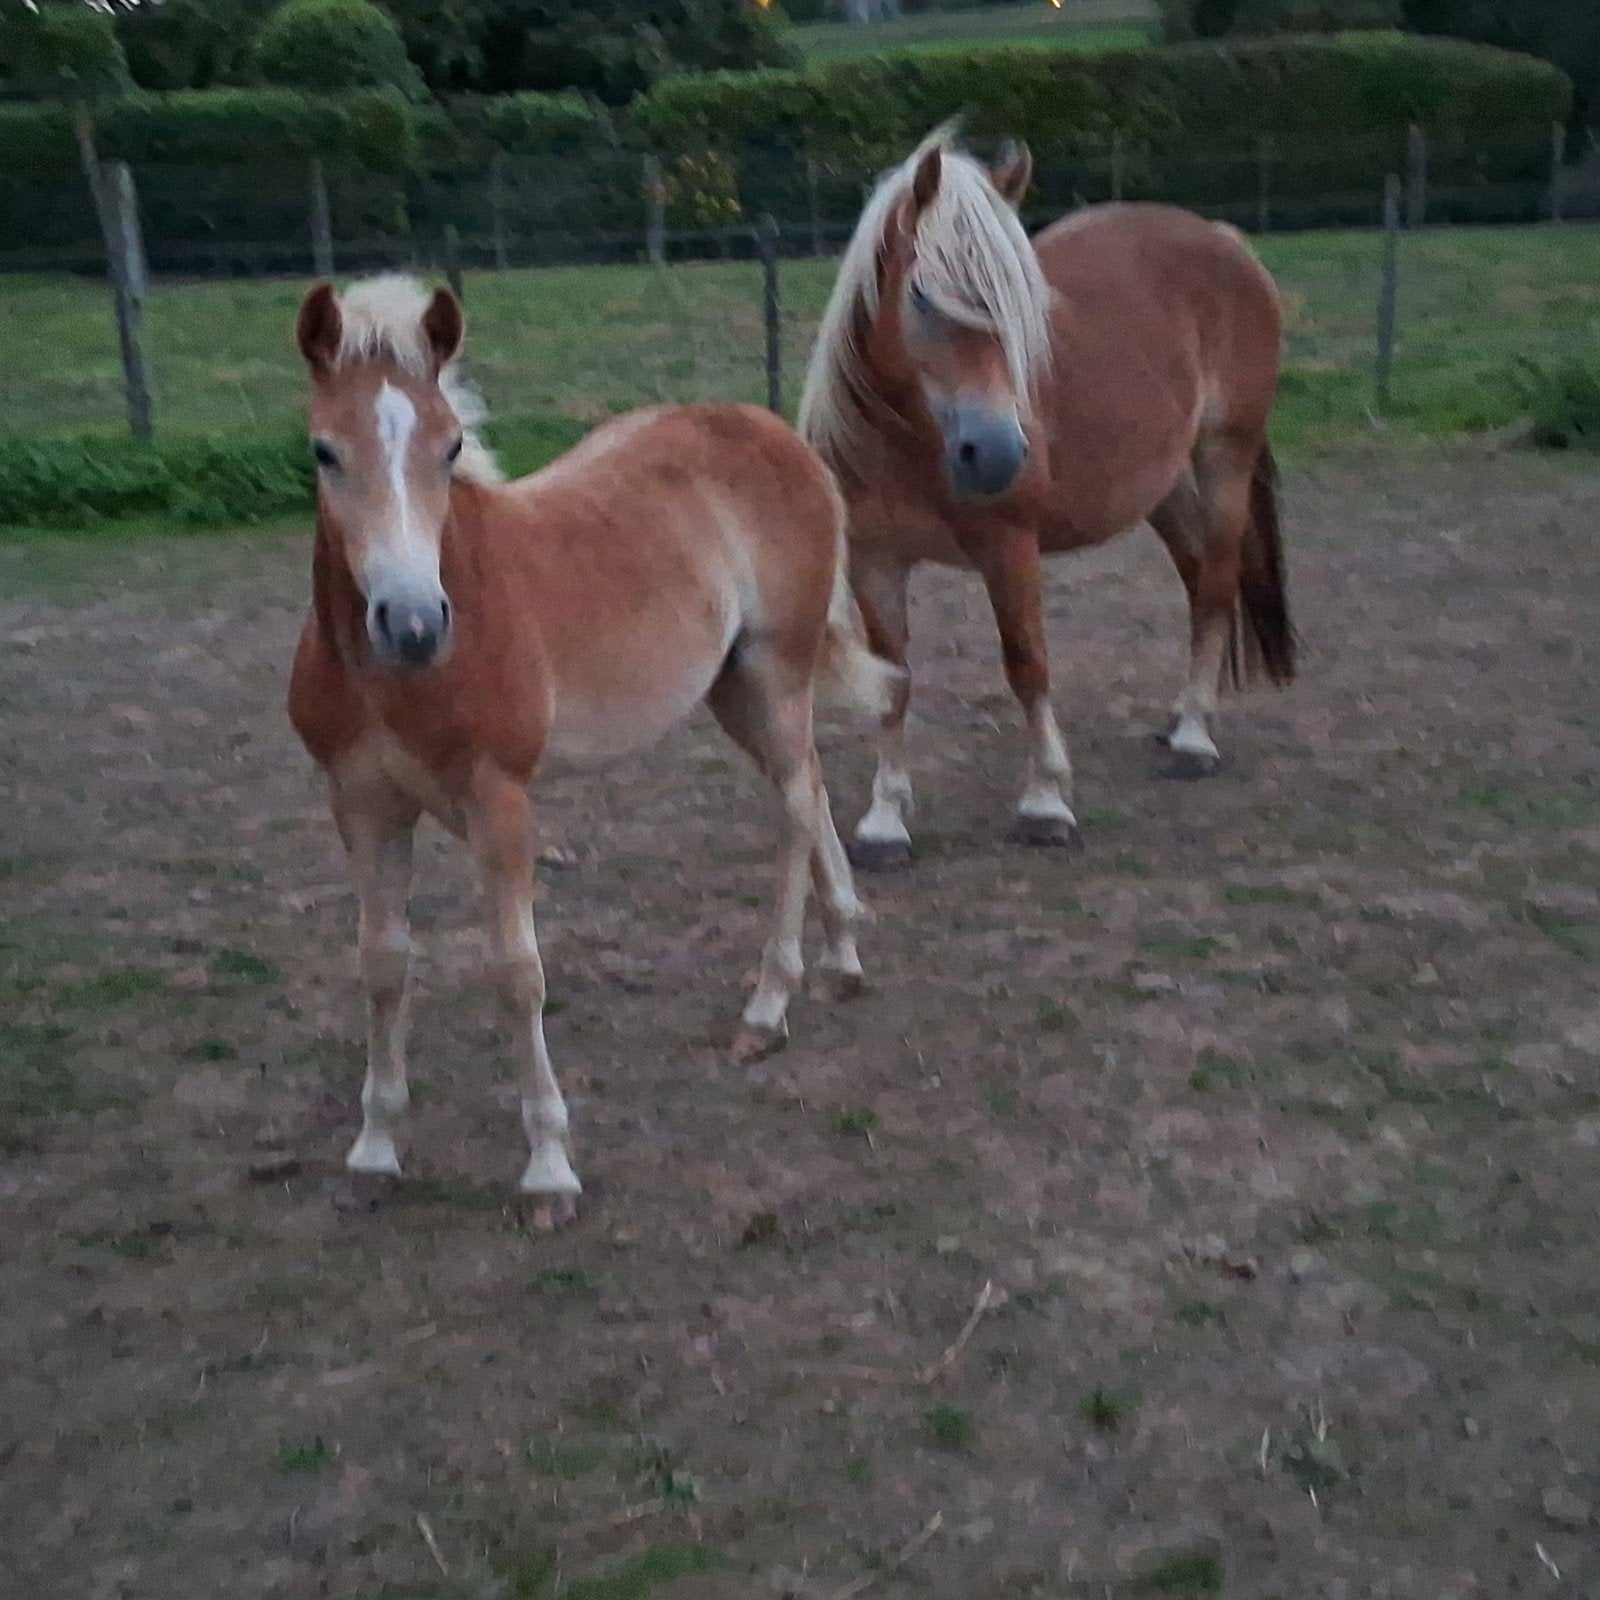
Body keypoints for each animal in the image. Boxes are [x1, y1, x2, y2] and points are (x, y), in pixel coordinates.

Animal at [286, 275, 895, 1211]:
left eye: (450, 447)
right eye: (324, 451)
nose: (414, 624)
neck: (392, 678)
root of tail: (777, 436)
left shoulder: (499, 799)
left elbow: (516, 971)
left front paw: (548, 1166)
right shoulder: (360, 801)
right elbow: (383, 962)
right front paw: (375, 1145)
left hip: (775, 671)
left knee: (795, 807)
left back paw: (768, 1004)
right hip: (732, 691)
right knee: (813, 783)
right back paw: (844, 952)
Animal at [799, 128, 1294, 868]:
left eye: (1019, 305)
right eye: (921, 294)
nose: (998, 452)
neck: (909, 443)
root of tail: (1222, 238)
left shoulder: (1009, 546)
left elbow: (1027, 664)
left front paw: (1045, 804)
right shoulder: (874, 561)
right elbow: (894, 681)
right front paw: (885, 820)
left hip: (1224, 456)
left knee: (1215, 582)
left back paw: (1193, 741)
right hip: (1160, 484)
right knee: (1198, 573)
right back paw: (1182, 716)